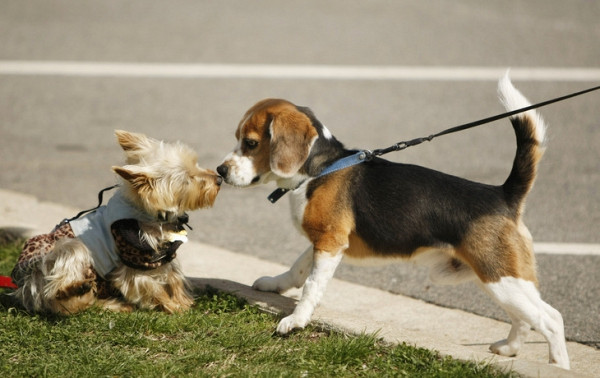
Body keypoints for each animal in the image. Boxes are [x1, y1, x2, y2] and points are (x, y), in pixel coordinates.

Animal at [11, 131, 223, 314]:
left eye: (196, 164)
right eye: (188, 179)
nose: (219, 178)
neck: (150, 215)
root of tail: (27, 287)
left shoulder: (163, 254)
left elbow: (173, 277)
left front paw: (182, 301)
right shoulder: (132, 260)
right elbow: (150, 285)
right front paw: (172, 306)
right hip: (65, 250)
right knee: (59, 289)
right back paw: (74, 288)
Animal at [216, 76, 568, 370]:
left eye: (250, 143)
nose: (220, 171)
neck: (321, 167)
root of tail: (503, 194)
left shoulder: (330, 242)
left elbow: (312, 286)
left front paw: (296, 320)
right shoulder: (325, 241)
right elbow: (297, 269)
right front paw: (274, 284)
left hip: (500, 277)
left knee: (551, 319)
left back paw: (558, 366)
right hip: (499, 278)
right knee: (526, 318)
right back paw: (508, 348)